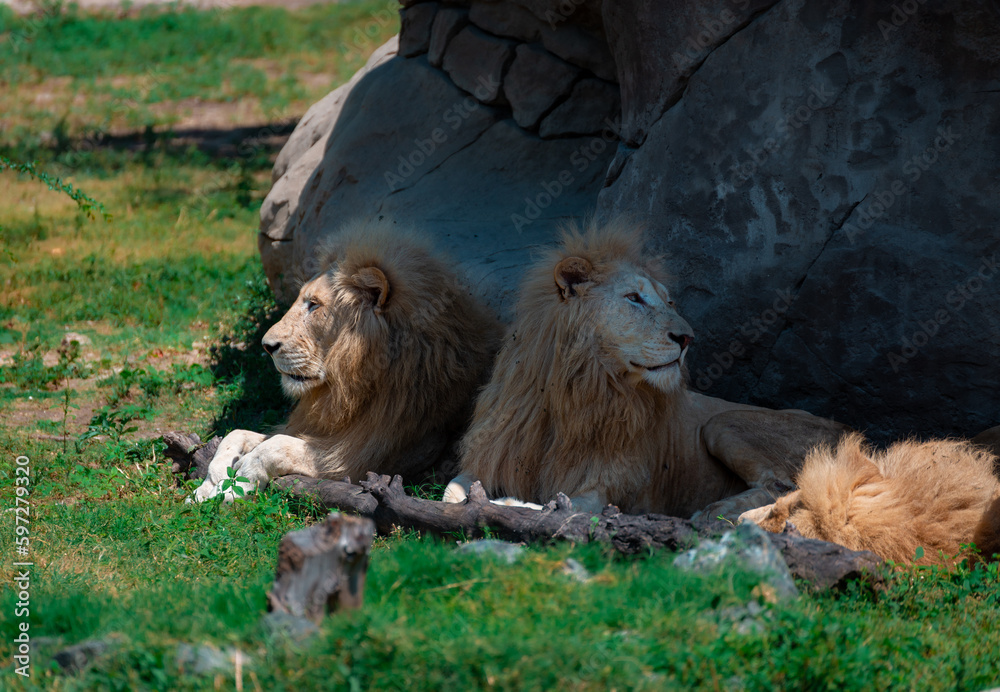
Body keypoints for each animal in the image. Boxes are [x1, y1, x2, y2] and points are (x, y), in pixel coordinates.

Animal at [194, 219, 501, 501]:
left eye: (314, 305)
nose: (267, 346)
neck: (350, 389)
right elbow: (237, 433)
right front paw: (211, 481)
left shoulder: (361, 460)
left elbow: (274, 447)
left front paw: (234, 486)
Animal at [443, 219, 849, 519]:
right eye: (634, 298)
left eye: (668, 301)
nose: (687, 338)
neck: (572, 391)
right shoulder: (491, 454)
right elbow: (451, 492)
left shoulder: (607, 483)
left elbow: (561, 506)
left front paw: (512, 503)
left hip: (722, 422)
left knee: (787, 486)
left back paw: (716, 513)